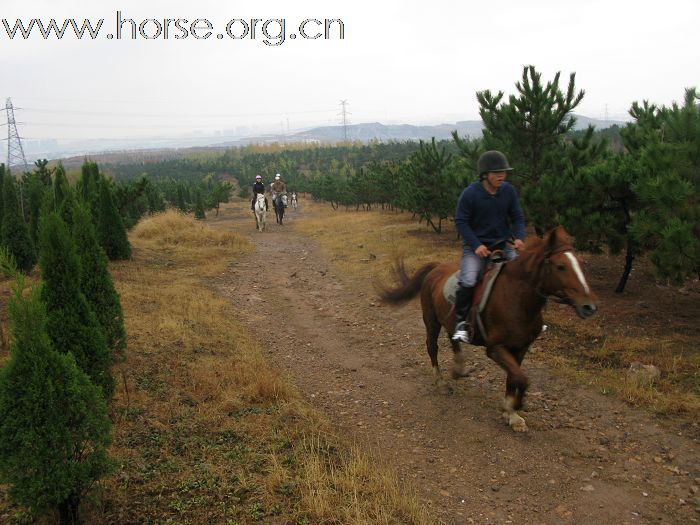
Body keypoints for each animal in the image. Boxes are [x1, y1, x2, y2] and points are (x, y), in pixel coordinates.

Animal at [378, 225, 596, 430]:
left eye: (581, 264)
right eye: (560, 266)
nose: (589, 307)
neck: (516, 298)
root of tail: (436, 268)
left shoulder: (521, 348)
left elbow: (514, 377)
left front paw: (512, 415)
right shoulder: (495, 348)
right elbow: (521, 378)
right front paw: (513, 406)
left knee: (453, 337)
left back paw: (458, 368)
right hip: (431, 320)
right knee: (432, 347)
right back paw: (441, 383)